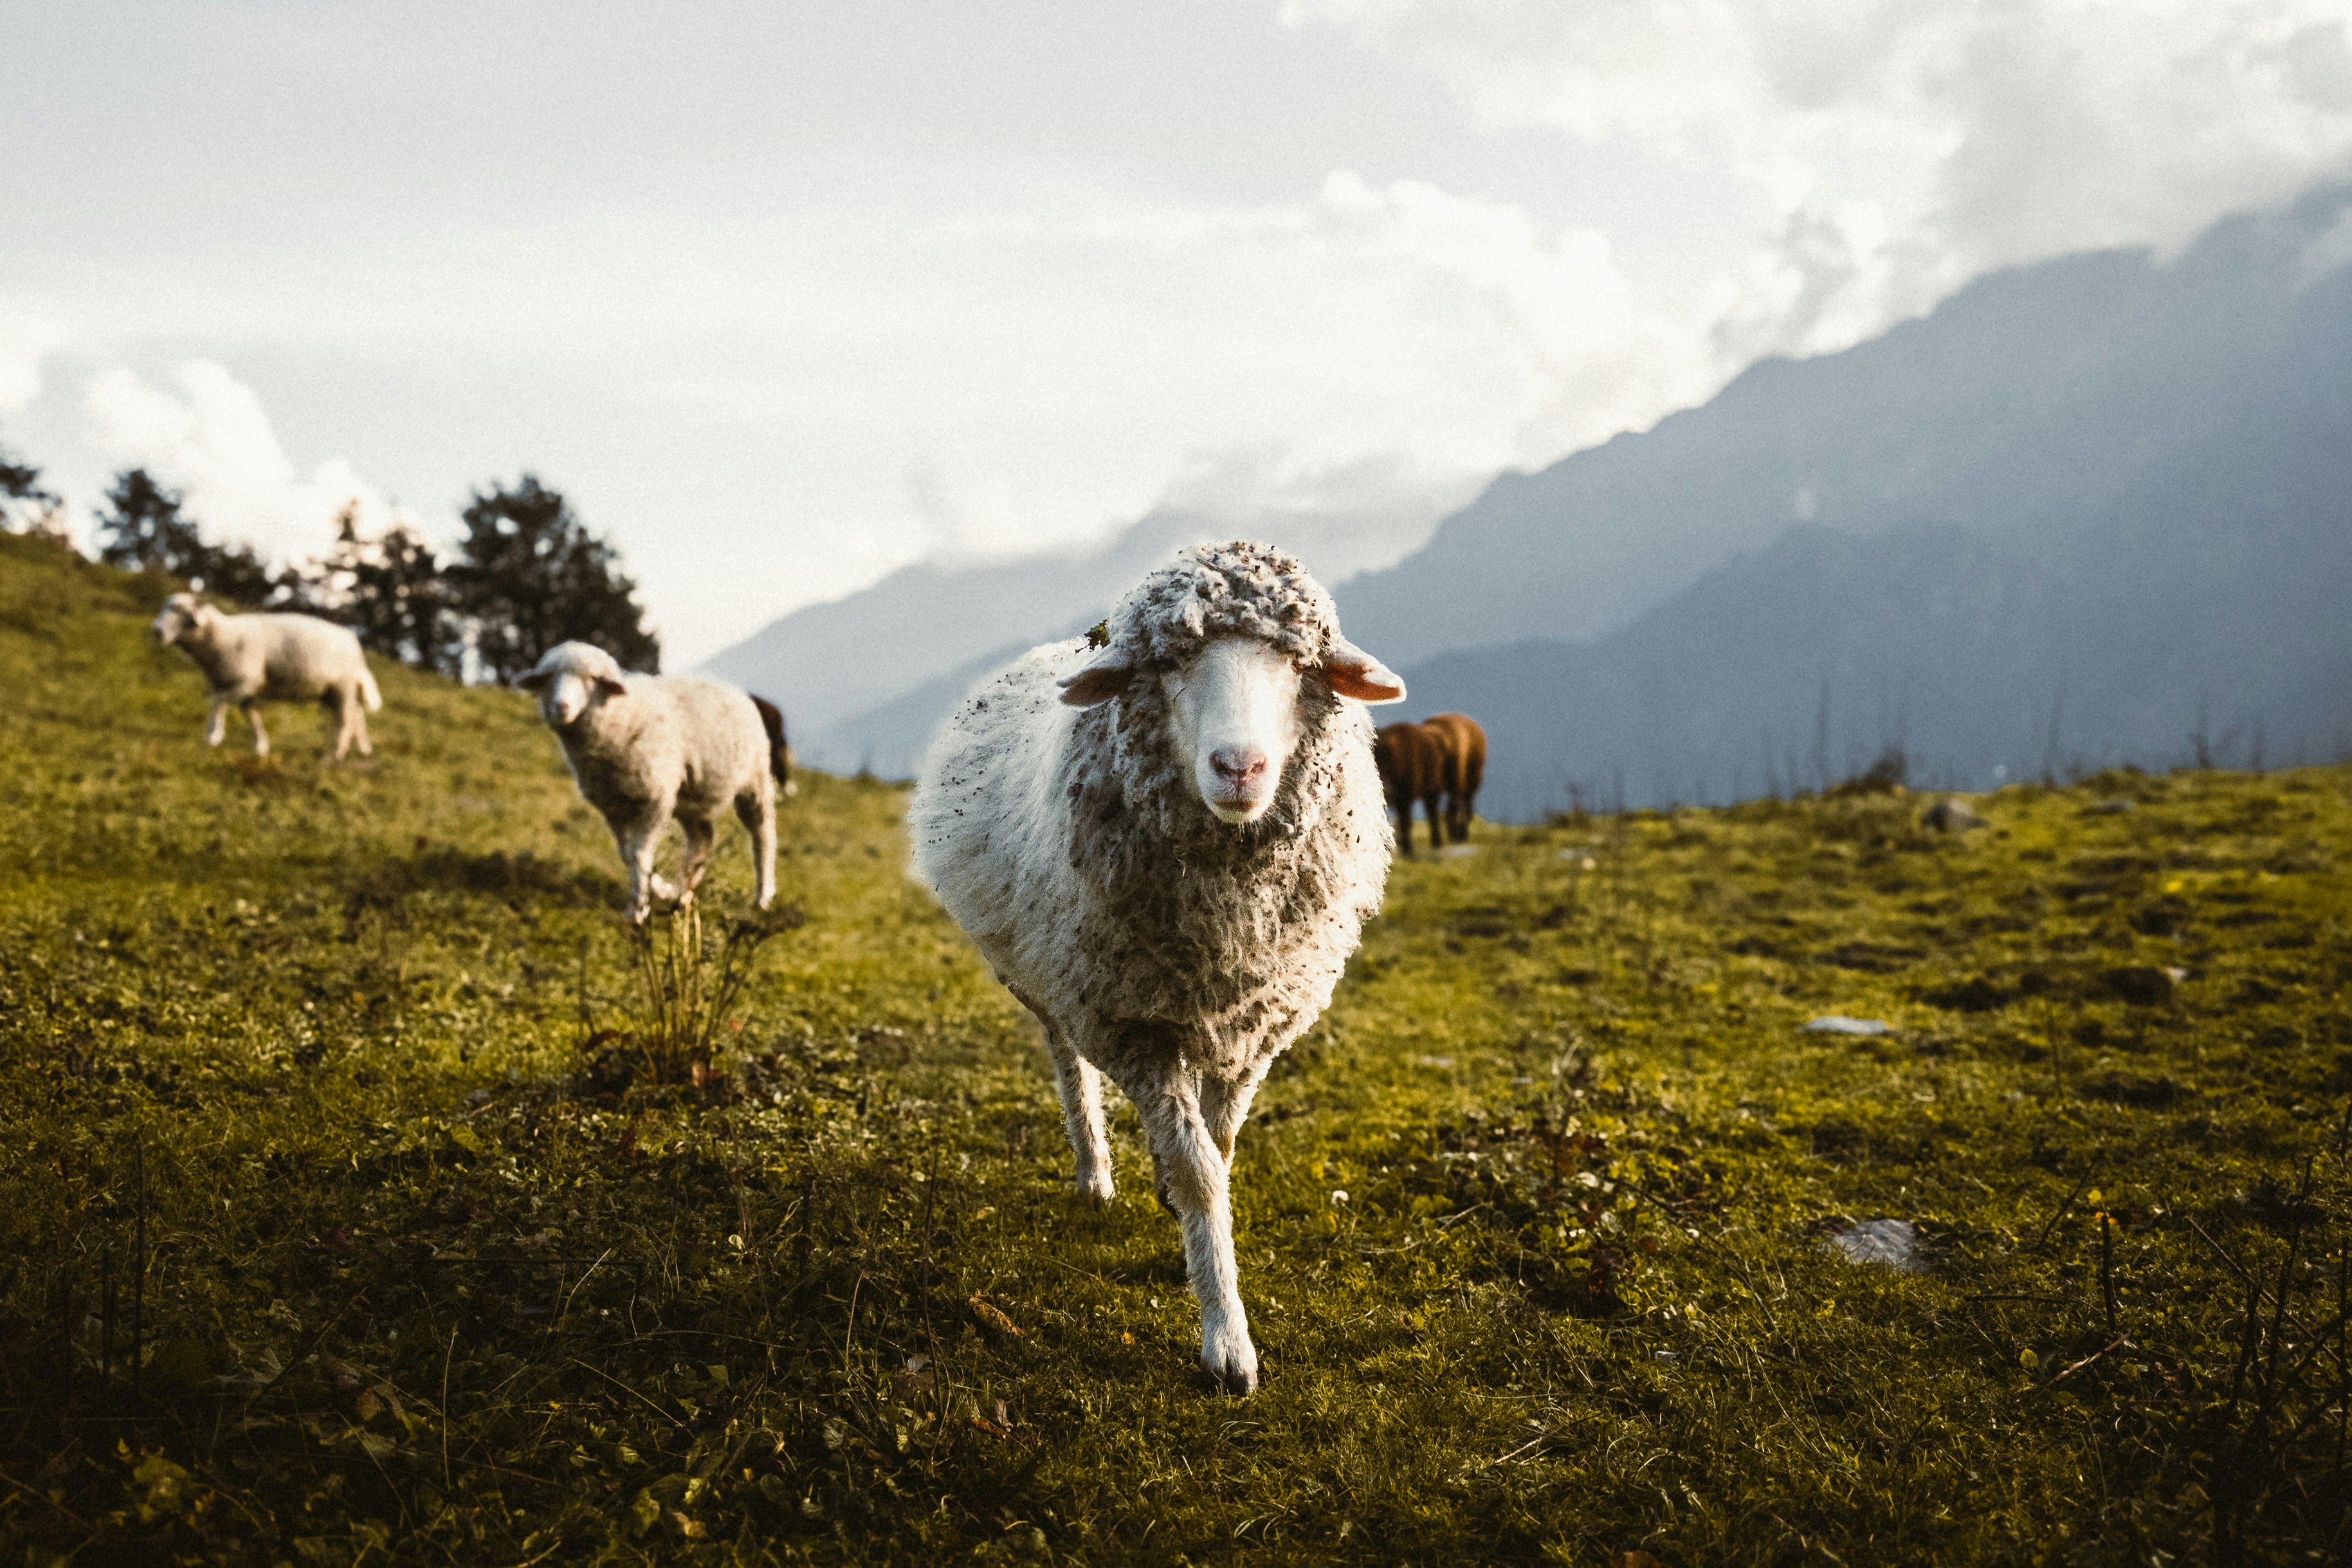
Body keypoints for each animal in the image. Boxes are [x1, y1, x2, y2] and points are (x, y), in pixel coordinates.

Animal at [149, 592, 382, 760]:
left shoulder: (247, 681)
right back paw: (362, 749)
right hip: (334, 692)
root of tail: (354, 642)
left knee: (346, 722)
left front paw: (213, 736)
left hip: (343, 687)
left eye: (179, 611)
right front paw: (260, 747)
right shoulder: (240, 688)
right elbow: (252, 718)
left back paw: (333, 757)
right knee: (356, 715)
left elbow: (217, 702)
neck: (221, 637)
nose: (156, 632)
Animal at [514, 641, 786, 922]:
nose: (561, 707)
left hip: (754, 780)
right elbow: (627, 855)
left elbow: (639, 853)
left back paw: (763, 897)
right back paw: (682, 893)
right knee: (702, 841)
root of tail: (734, 688)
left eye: (591, 679)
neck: (622, 716)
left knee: (763, 834)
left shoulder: (657, 798)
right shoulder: (613, 805)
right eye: (549, 678)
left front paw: (638, 911)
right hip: (691, 797)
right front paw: (656, 890)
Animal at [907, 541, 1405, 1394]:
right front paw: (1227, 1339)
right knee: (1069, 1061)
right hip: (1054, 974)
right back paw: (1095, 1172)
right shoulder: (1135, 1023)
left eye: (1296, 659)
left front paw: (1200, 1244)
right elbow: (1199, 1166)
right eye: (1170, 660)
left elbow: (1220, 1149)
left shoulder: (1255, 1025)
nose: (1239, 766)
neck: (1227, 913)